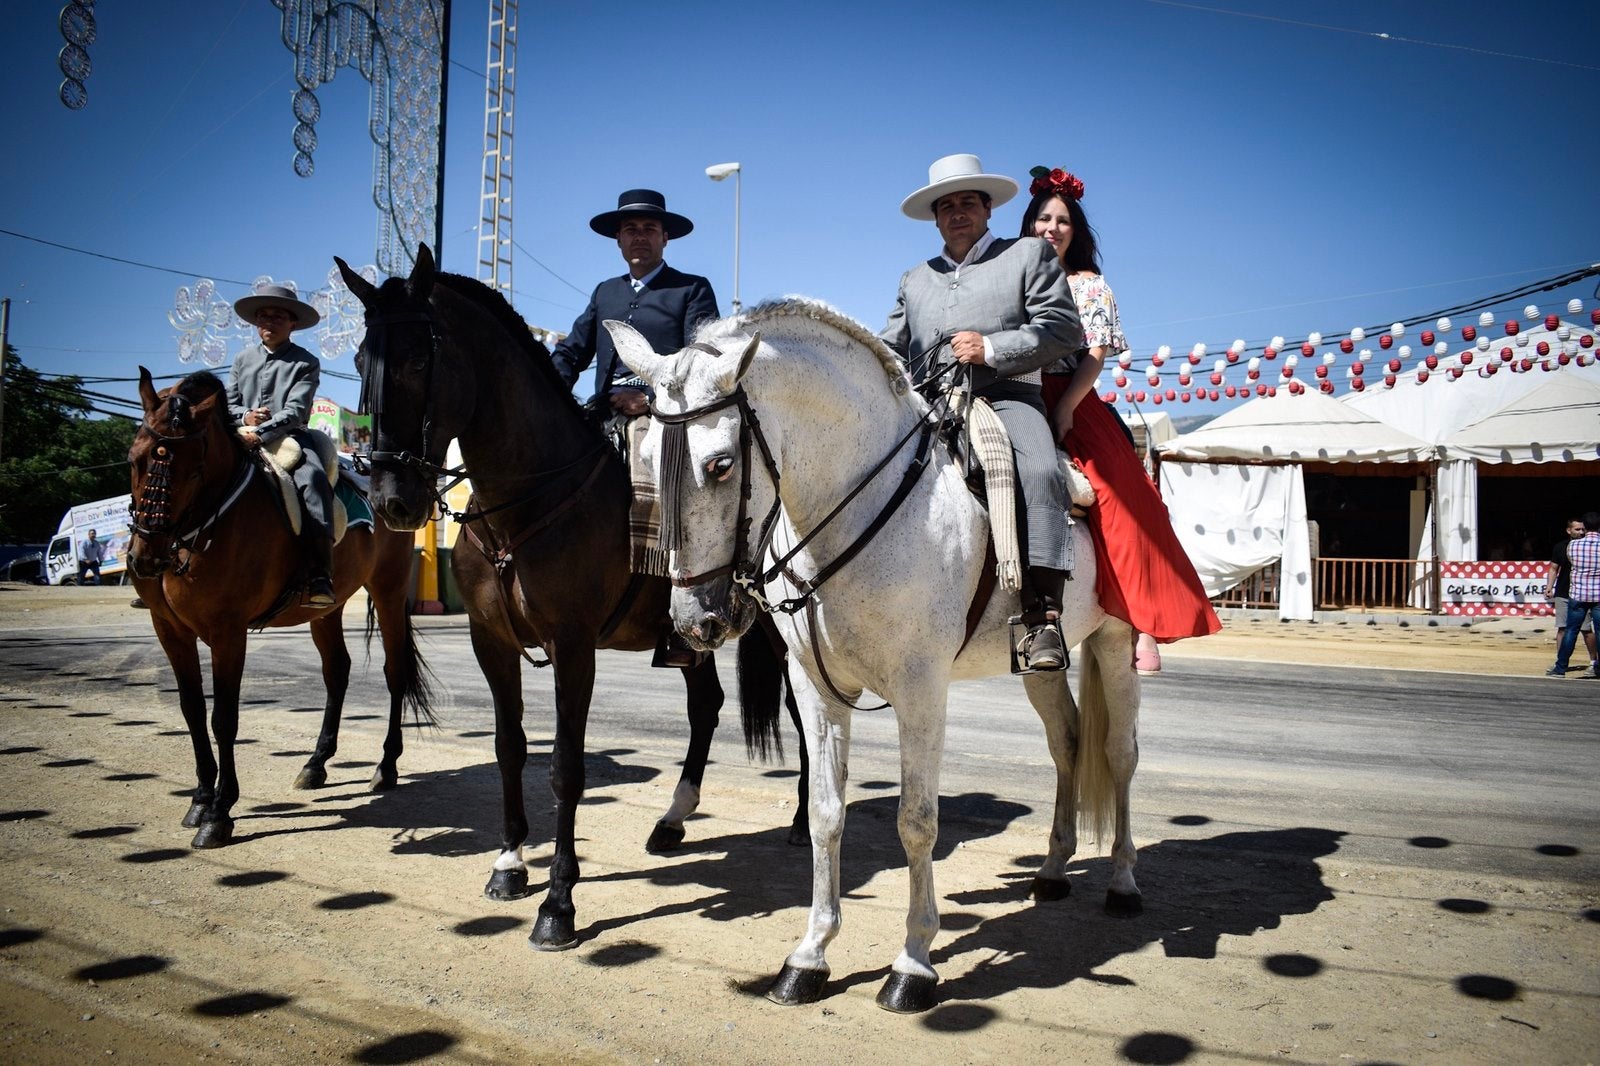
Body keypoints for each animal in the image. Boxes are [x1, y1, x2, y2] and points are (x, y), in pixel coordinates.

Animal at [127, 364, 435, 845]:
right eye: (134, 459)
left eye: (193, 470)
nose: (145, 559)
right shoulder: (169, 629)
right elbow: (192, 710)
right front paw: (200, 799)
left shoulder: (228, 631)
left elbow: (224, 718)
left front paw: (219, 812)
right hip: (325, 608)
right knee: (337, 671)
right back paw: (315, 764)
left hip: (386, 590)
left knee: (394, 672)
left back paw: (386, 766)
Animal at [332, 246, 800, 947]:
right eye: (363, 359)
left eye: (418, 358)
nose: (393, 501)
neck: (524, 506)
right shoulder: (491, 640)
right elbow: (510, 749)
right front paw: (508, 863)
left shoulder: (574, 646)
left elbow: (565, 768)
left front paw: (558, 902)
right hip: (692, 629)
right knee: (707, 705)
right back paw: (672, 819)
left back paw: (802, 822)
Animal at [604, 299, 1145, 1011]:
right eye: (646, 459)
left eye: (720, 465)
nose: (696, 621)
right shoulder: (817, 688)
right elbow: (826, 815)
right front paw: (809, 955)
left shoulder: (921, 690)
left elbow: (916, 821)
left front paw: (913, 963)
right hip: (1036, 665)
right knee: (1068, 742)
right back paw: (1054, 869)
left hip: (1117, 641)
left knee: (1118, 753)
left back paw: (1123, 882)